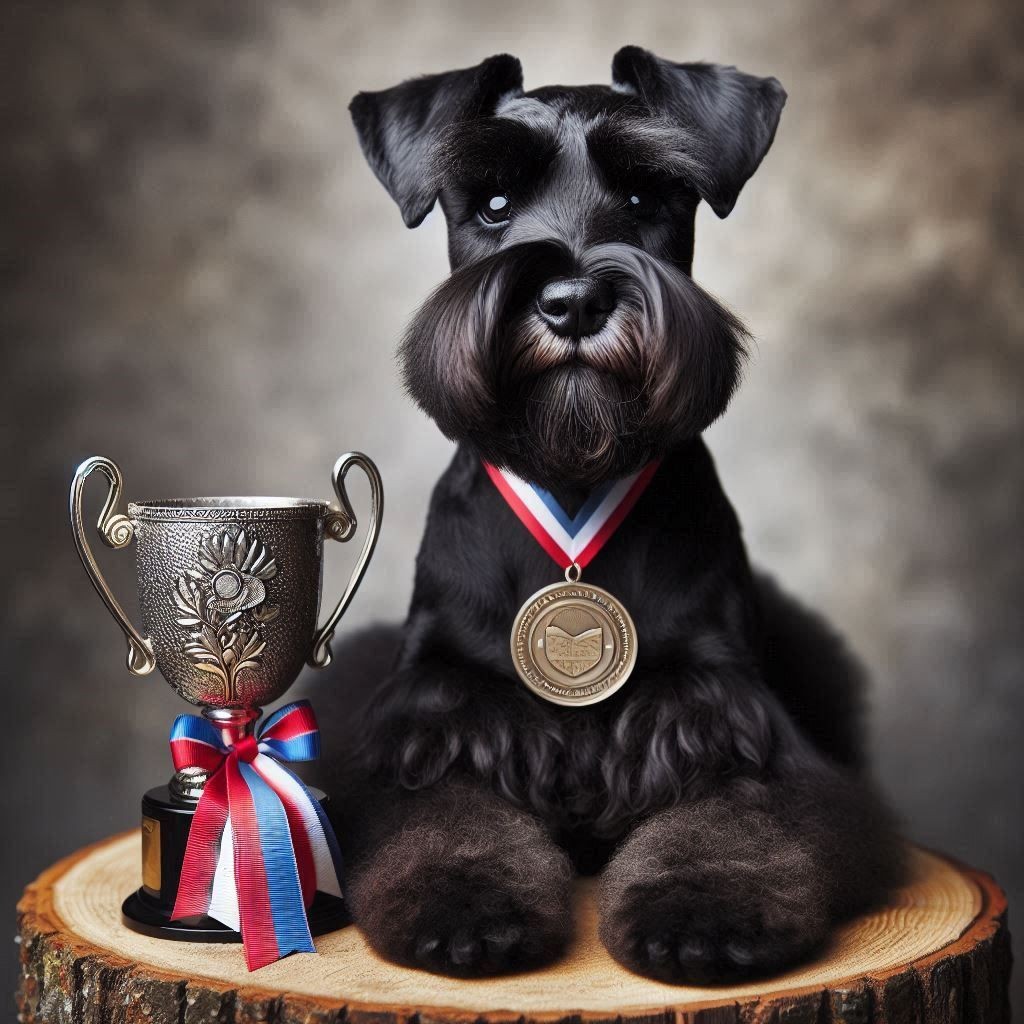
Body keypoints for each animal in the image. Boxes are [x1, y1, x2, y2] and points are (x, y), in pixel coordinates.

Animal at [319, 46, 905, 983]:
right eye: (492, 203)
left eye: (645, 197)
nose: (573, 302)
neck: (573, 473)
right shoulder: (434, 726)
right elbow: (445, 824)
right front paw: (466, 907)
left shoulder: (731, 722)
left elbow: (731, 828)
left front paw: (704, 913)